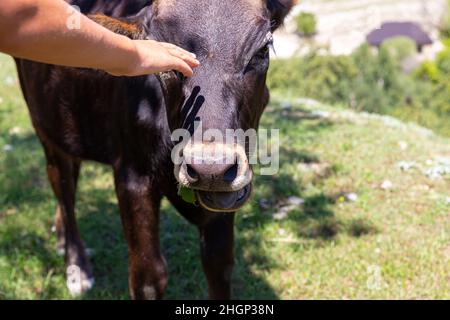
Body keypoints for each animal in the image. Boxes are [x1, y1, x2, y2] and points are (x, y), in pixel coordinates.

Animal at [14, 0, 296, 300]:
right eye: (164, 58)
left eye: (263, 49)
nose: (211, 169)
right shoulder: (132, 176)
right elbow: (149, 277)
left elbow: (219, 265)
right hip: (44, 128)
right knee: (64, 188)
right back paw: (77, 267)